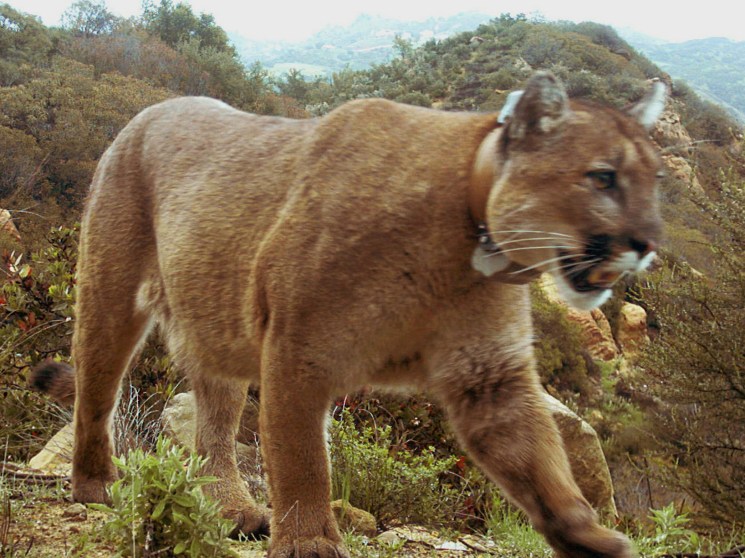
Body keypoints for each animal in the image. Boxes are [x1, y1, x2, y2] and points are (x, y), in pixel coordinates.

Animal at [31, 72, 665, 557]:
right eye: (602, 177)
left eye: (654, 181)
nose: (647, 242)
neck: (464, 237)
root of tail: (150, 109)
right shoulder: (298, 350)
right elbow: (303, 458)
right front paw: (310, 543)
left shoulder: (489, 375)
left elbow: (541, 465)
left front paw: (591, 539)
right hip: (111, 292)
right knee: (96, 388)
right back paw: (96, 484)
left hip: (216, 320)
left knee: (213, 420)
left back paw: (235, 510)